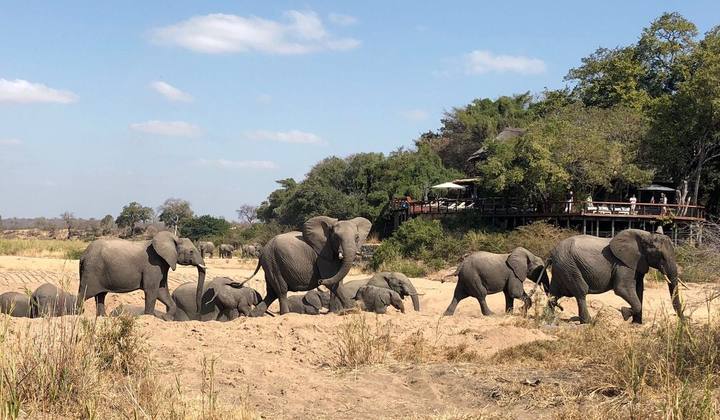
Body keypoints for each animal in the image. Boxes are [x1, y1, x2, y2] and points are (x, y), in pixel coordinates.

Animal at [540, 229, 683, 324]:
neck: (645, 235)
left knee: (554, 293)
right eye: (661, 256)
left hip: (562, 268)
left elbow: (639, 289)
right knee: (581, 292)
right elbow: (622, 288)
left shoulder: (638, 263)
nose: (683, 322)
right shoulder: (622, 264)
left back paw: (548, 318)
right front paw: (625, 313)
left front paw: (636, 324)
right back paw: (588, 322)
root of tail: (551, 254)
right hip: (569, 266)